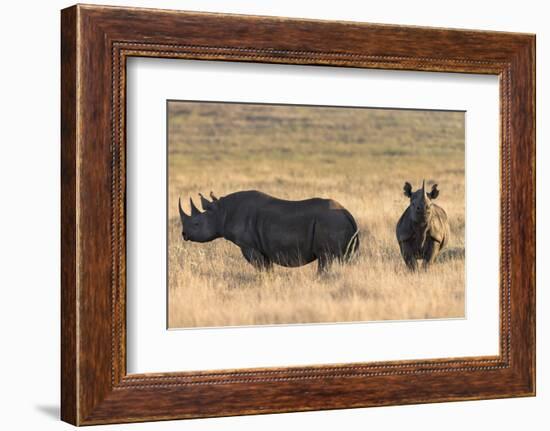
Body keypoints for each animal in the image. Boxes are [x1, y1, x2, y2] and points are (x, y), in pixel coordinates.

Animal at [179, 191, 360, 272]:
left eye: (196, 224)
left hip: (330, 222)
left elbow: (261, 268)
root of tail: (347, 213)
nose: (184, 235)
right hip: (337, 223)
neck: (221, 213)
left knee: (325, 258)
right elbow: (267, 268)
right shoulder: (263, 249)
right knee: (344, 259)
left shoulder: (249, 247)